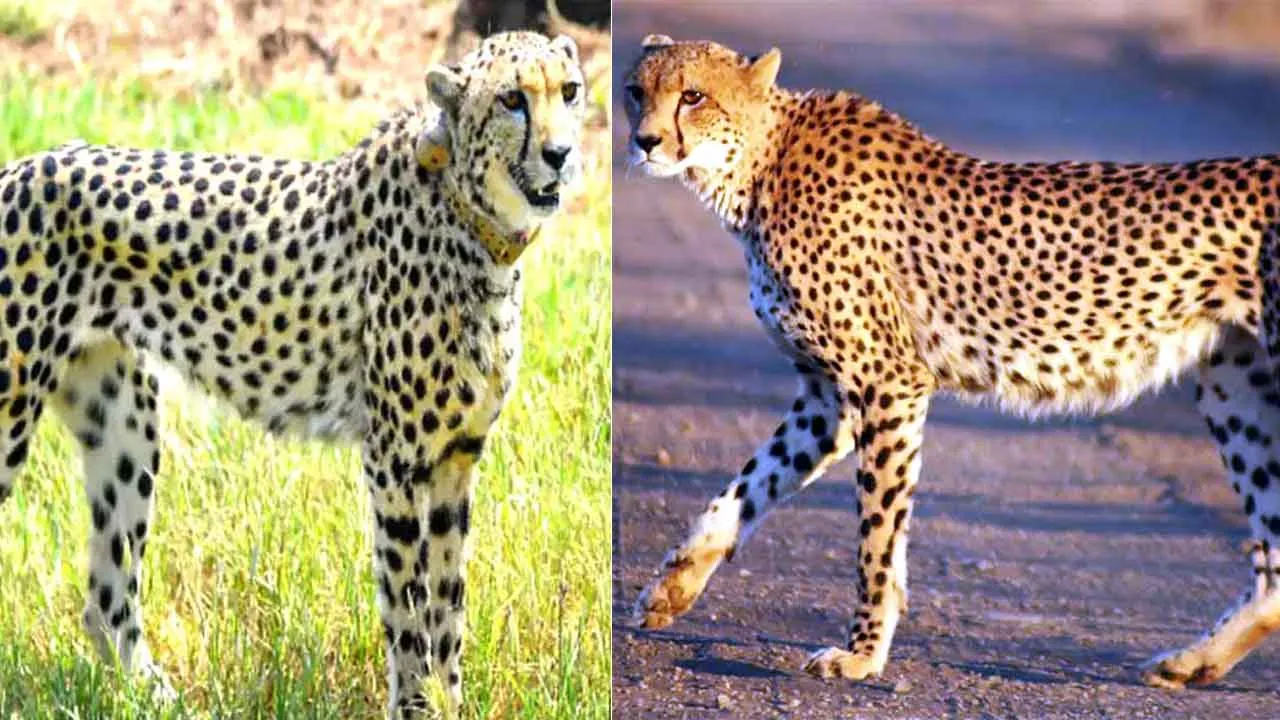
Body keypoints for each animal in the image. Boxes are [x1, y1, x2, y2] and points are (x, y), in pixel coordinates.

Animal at [0, 30, 585, 718]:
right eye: (512, 99)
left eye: (570, 91)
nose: (560, 154)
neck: (471, 218)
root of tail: (22, 166)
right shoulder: (394, 458)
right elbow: (407, 605)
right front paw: (415, 704)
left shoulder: (456, 457)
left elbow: (449, 607)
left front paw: (450, 701)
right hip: (12, 412)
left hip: (125, 422)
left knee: (107, 599)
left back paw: (157, 697)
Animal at [623, 34, 1280, 691]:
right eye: (636, 91)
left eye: (693, 96)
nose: (645, 141)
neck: (759, 166)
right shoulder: (829, 397)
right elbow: (749, 485)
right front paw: (672, 586)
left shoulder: (888, 382)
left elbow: (877, 534)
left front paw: (862, 653)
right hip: (1236, 386)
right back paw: (1191, 663)